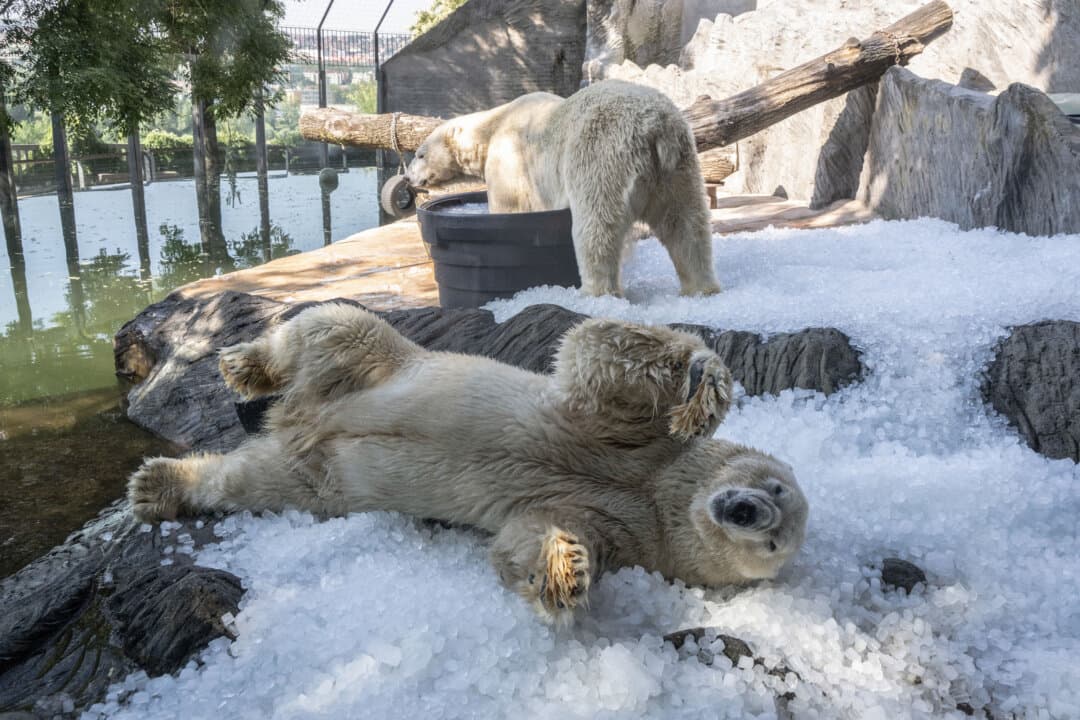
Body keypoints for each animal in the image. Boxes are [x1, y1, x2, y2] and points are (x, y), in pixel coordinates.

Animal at [128, 304, 807, 625]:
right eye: (774, 485)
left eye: (775, 544)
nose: (748, 511)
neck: (655, 490)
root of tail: (297, 419)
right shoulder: (625, 440)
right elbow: (597, 359)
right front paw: (703, 385)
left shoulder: (628, 529)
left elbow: (525, 539)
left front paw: (565, 571)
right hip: (374, 364)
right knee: (330, 328)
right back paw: (242, 365)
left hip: (319, 479)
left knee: (252, 481)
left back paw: (159, 485)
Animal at [405, 79, 722, 299]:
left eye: (419, 154)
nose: (408, 179)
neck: (495, 123)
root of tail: (655, 127)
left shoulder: (510, 160)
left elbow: (509, 207)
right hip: (677, 165)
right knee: (685, 223)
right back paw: (700, 288)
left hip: (602, 155)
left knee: (597, 227)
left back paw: (594, 292)